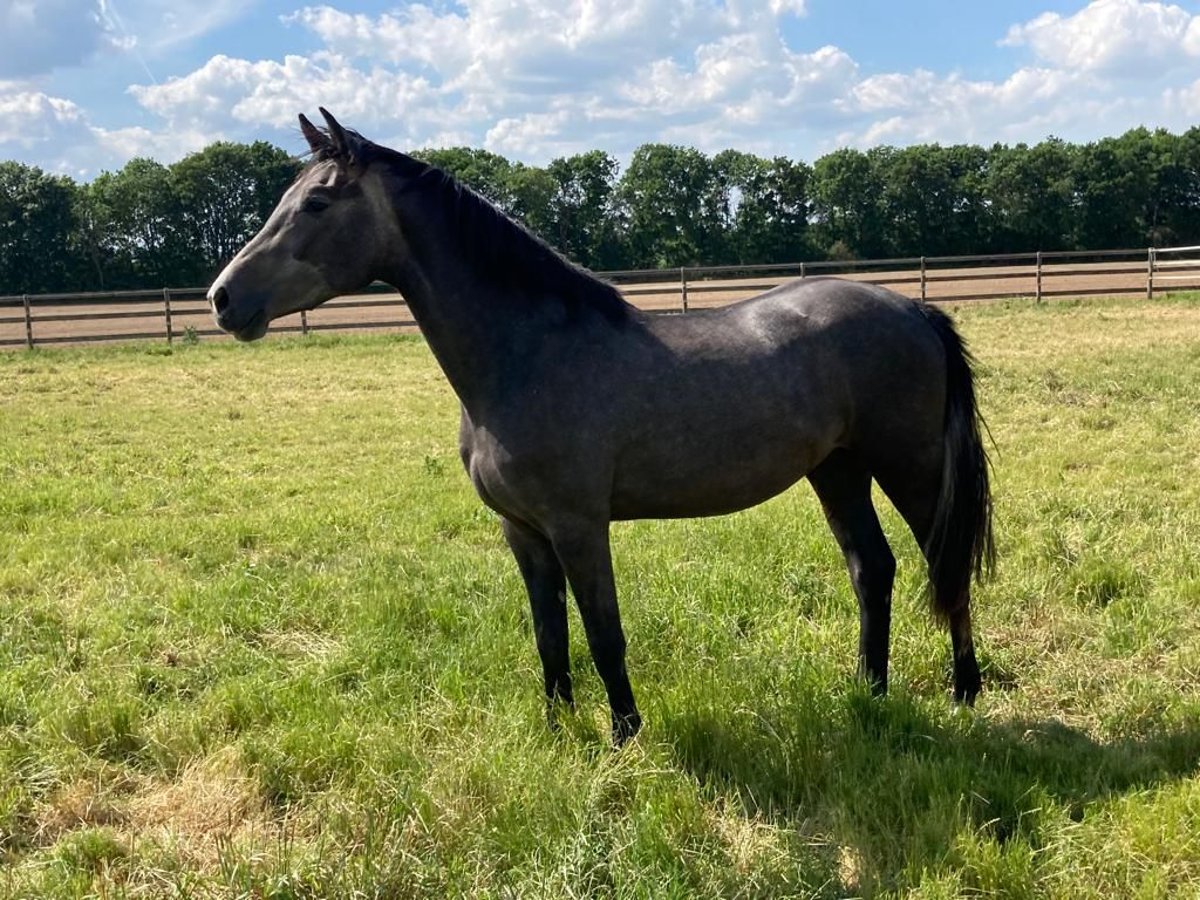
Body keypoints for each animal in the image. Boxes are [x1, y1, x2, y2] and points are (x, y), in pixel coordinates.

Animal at [208, 111, 993, 748]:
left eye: (315, 202)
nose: (222, 299)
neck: (525, 355)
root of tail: (913, 308)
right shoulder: (522, 531)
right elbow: (549, 636)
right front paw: (558, 731)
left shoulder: (578, 525)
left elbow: (602, 633)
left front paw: (624, 736)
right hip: (837, 469)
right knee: (873, 569)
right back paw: (870, 692)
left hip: (911, 467)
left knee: (944, 564)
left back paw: (965, 690)